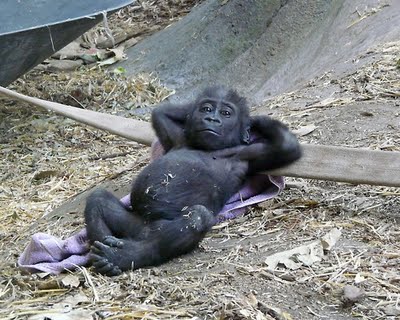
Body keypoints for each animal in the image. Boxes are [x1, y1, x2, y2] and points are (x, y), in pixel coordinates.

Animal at [86, 85, 302, 276]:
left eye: (226, 113)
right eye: (206, 109)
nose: (212, 119)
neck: (207, 147)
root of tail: (142, 232)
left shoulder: (249, 154)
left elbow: (287, 146)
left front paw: (255, 121)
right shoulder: (176, 137)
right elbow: (160, 113)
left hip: (152, 231)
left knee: (197, 217)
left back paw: (126, 255)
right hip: (134, 225)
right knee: (98, 199)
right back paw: (108, 249)